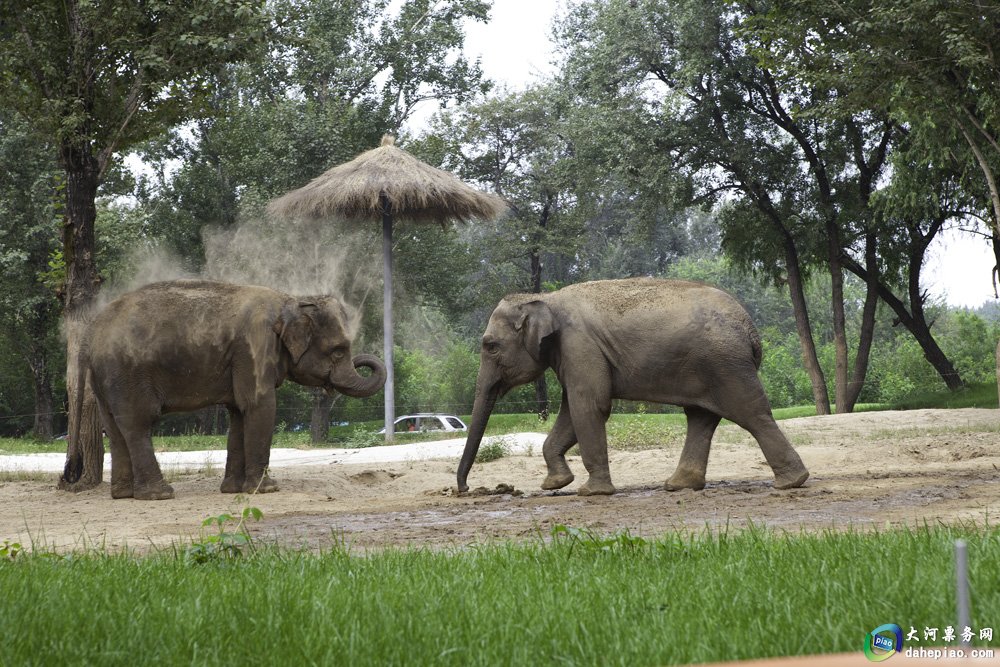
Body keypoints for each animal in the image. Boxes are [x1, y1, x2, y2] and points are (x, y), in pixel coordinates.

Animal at [70, 278, 386, 500]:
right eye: (338, 351)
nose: (362, 361)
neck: (293, 300)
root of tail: (90, 334)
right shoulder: (254, 347)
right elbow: (259, 406)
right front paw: (266, 490)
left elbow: (238, 413)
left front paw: (233, 490)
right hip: (126, 374)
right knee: (137, 424)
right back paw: (160, 494)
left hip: (105, 380)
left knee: (115, 428)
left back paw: (124, 495)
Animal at [458, 276, 808, 496]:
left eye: (490, 346)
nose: (466, 489)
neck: (545, 298)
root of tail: (752, 330)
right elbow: (572, 409)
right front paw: (555, 484)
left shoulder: (579, 345)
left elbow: (589, 406)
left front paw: (591, 492)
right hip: (708, 366)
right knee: (700, 418)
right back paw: (678, 486)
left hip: (726, 365)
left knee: (751, 414)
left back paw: (791, 483)